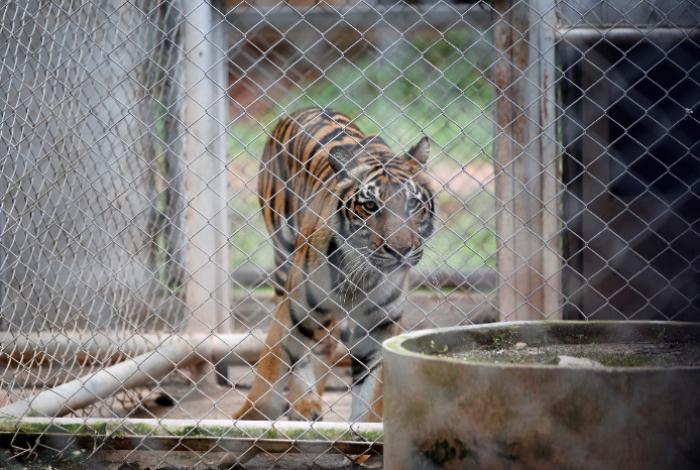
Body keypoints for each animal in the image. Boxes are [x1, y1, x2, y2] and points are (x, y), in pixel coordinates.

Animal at [233, 107, 434, 422]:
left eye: (412, 204)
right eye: (370, 206)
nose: (400, 251)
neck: (361, 275)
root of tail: (303, 109)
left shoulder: (380, 325)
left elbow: (372, 392)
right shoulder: (295, 308)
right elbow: (278, 359)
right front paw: (255, 415)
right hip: (283, 260)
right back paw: (298, 404)